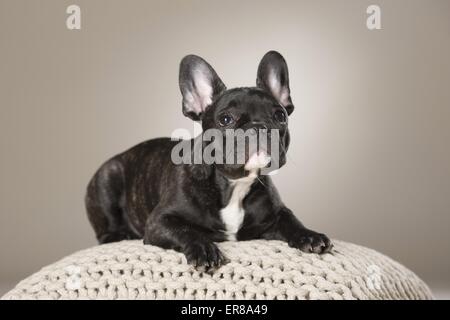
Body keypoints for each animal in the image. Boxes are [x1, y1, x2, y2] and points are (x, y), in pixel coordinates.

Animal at [85, 51, 330, 266]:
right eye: (225, 119)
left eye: (280, 116)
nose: (258, 127)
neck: (234, 185)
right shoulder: (159, 222)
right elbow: (186, 231)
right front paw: (203, 248)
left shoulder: (275, 214)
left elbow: (291, 220)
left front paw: (309, 235)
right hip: (109, 176)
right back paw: (119, 234)